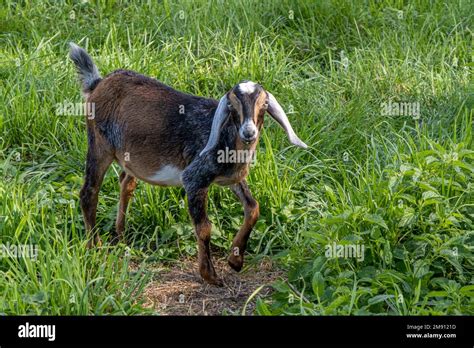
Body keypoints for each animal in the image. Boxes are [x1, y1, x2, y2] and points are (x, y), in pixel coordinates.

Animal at [69, 42, 308, 286]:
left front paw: (235, 261)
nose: (248, 132)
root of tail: (98, 83)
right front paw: (210, 275)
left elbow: (253, 208)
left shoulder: (231, 177)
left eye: (265, 104)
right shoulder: (195, 178)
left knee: (126, 181)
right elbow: (204, 227)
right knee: (88, 192)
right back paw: (94, 246)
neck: (226, 138)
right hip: (99, 143)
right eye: (232, 107)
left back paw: (122, 235)